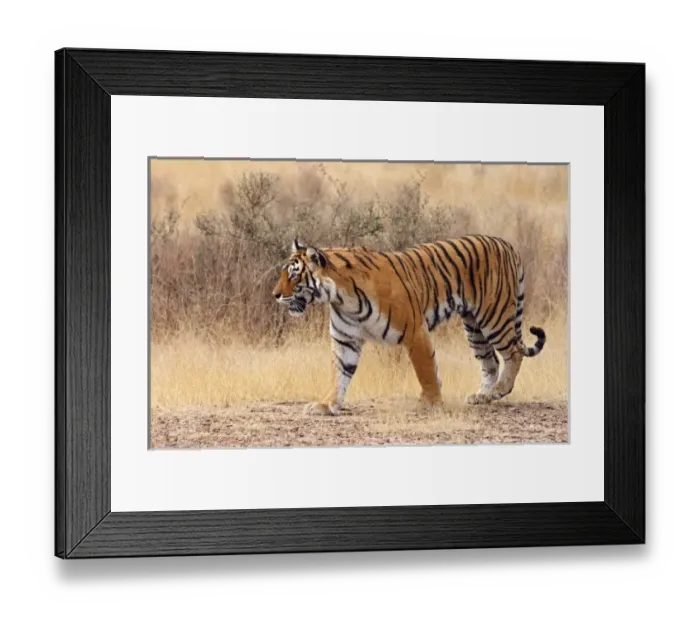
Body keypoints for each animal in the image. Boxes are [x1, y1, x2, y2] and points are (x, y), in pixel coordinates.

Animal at [272, 236, 546, 416]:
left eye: (294, 275)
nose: (274, 294)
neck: (341, 298)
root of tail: (507, 244)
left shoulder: (415, 331)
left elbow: (426, 370)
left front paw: (431, 402)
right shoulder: (345, 340)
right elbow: (339, 374)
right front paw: (326, 404)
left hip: (494, 317)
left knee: (514, 352)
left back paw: (500, 390)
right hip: (473, 327)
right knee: (491, 362)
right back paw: (483, 396)